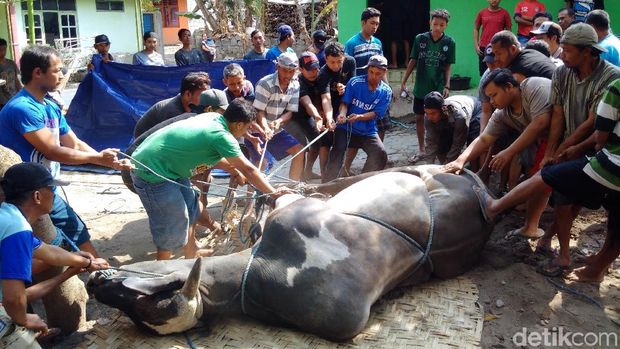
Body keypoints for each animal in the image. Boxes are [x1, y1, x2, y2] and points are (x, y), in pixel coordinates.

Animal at [87, 165, 494, 340]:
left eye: (130, 293)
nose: (94, 279)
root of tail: (486, 205)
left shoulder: (292, 212)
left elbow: (282, 197)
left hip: (429, 175)